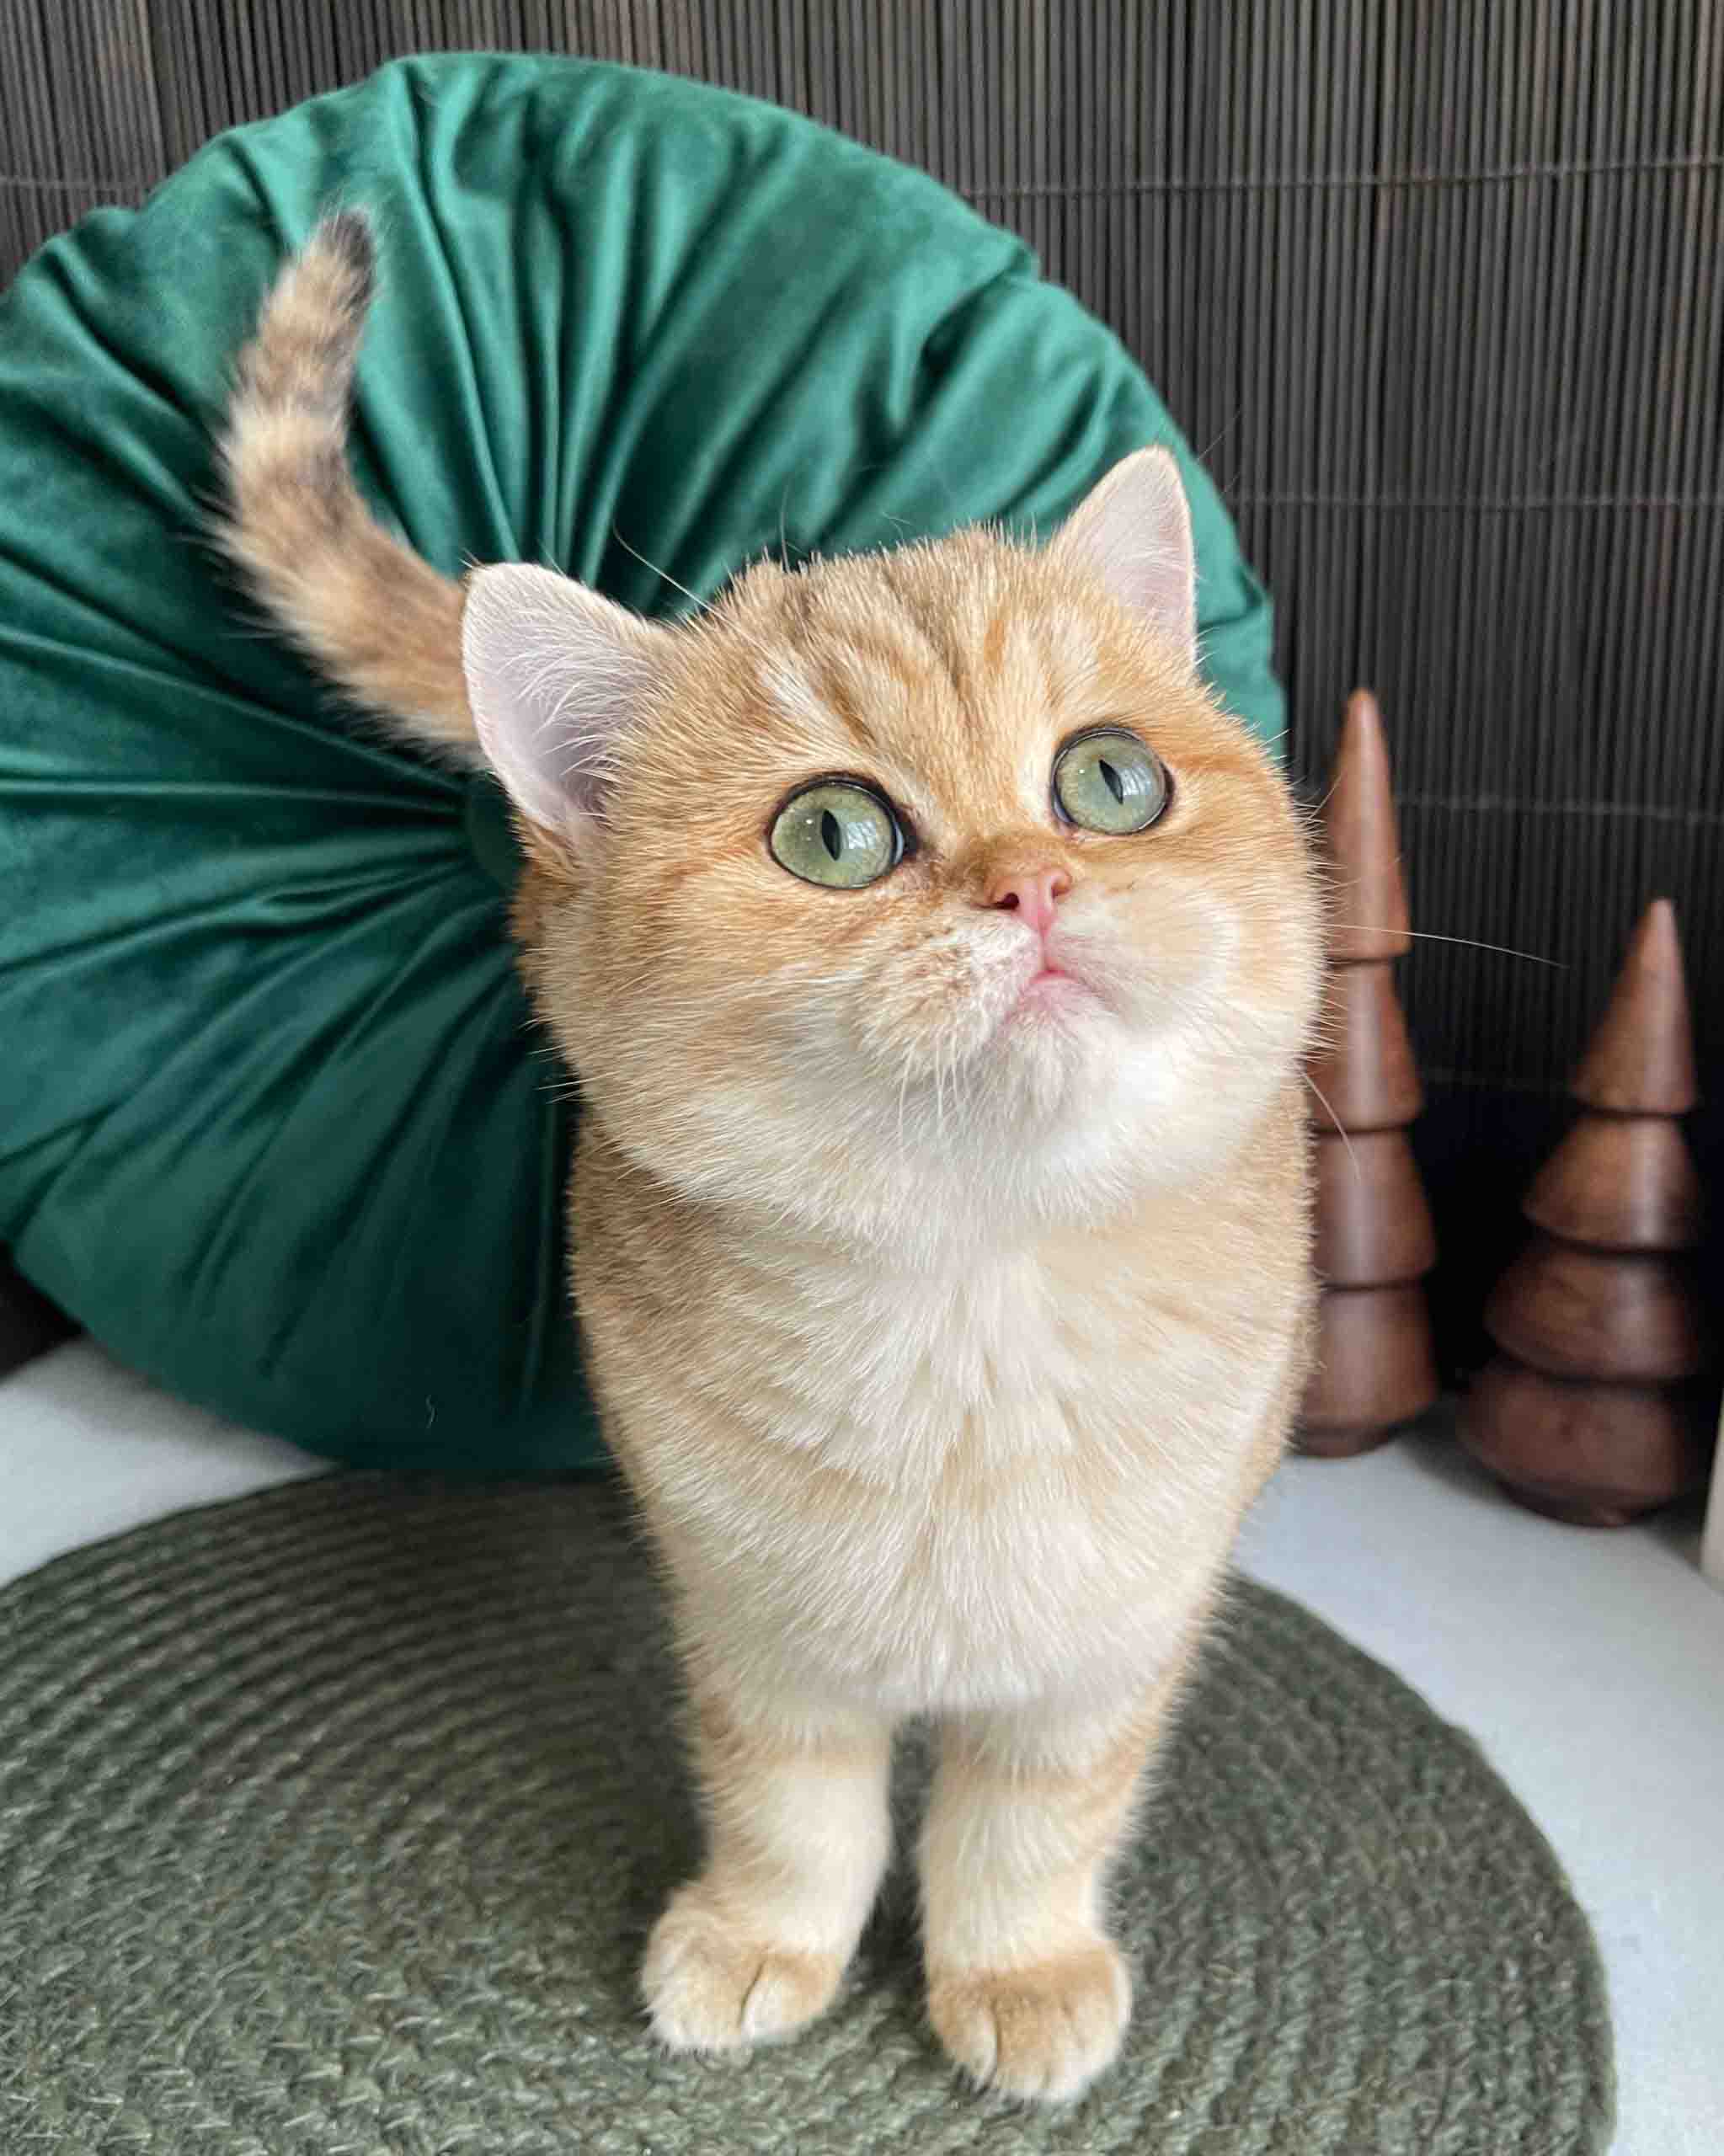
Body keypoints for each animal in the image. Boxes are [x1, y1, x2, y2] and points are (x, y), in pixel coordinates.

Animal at [221, 210, 1324, 2104]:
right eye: (832, 832)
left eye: (1109, 781)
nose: (1035, 885)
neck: (968, 1303)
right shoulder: (749, 1619)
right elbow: (791, 1804)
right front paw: (764, 1942)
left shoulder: (1115, 1641)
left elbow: (1031, 1817)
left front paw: (1014, 1970)